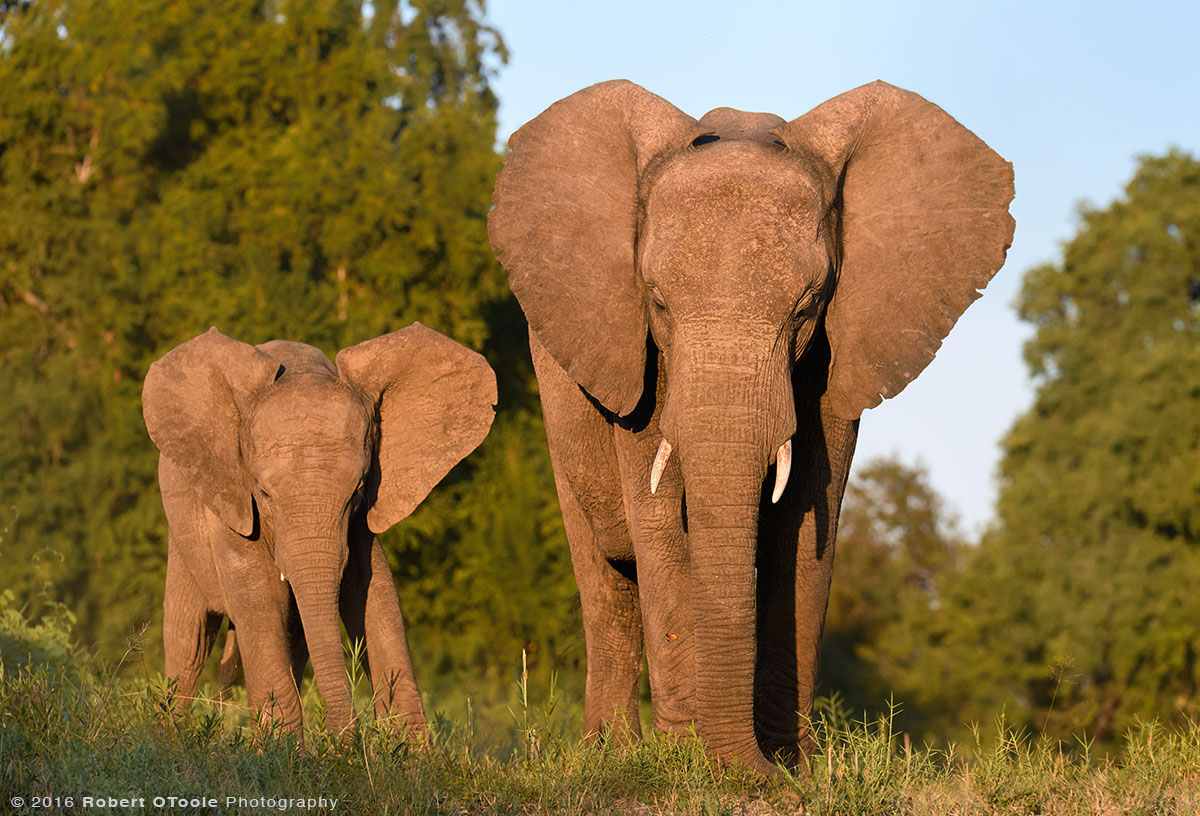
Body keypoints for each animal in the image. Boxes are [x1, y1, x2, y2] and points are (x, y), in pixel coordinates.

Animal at [141, 324, 496, 734]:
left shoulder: (361, 520)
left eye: (358, 489)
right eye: (263, 492)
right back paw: (170, 735)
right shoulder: (232, 496)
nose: (349, 731)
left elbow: (374, 595)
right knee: (190, 640)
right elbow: (260, 604)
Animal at [487, 79, 1012, 772]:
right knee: (603, 575)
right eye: (656, 301)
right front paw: (692, 763)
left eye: (807, 304)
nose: (756, 772)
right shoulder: (641, 362)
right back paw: (613, 757)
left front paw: (794, 767)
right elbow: (661, 520)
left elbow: (806, 521)